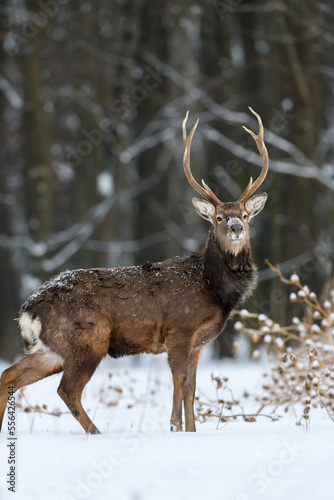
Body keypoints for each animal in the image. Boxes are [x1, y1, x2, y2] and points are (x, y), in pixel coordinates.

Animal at [0, 106, 268, 434]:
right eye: (218, 217)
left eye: (245, 214)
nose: (236, 228)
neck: (212, 288)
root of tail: (27, 309)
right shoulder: (179, 330)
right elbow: (180, 382)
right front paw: (175, 428)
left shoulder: (199, 344)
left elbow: (191, 389)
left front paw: (191, 432)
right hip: (89, 337)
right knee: (67, 389)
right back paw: (98, 433)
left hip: (52, 348)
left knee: (9, 376)